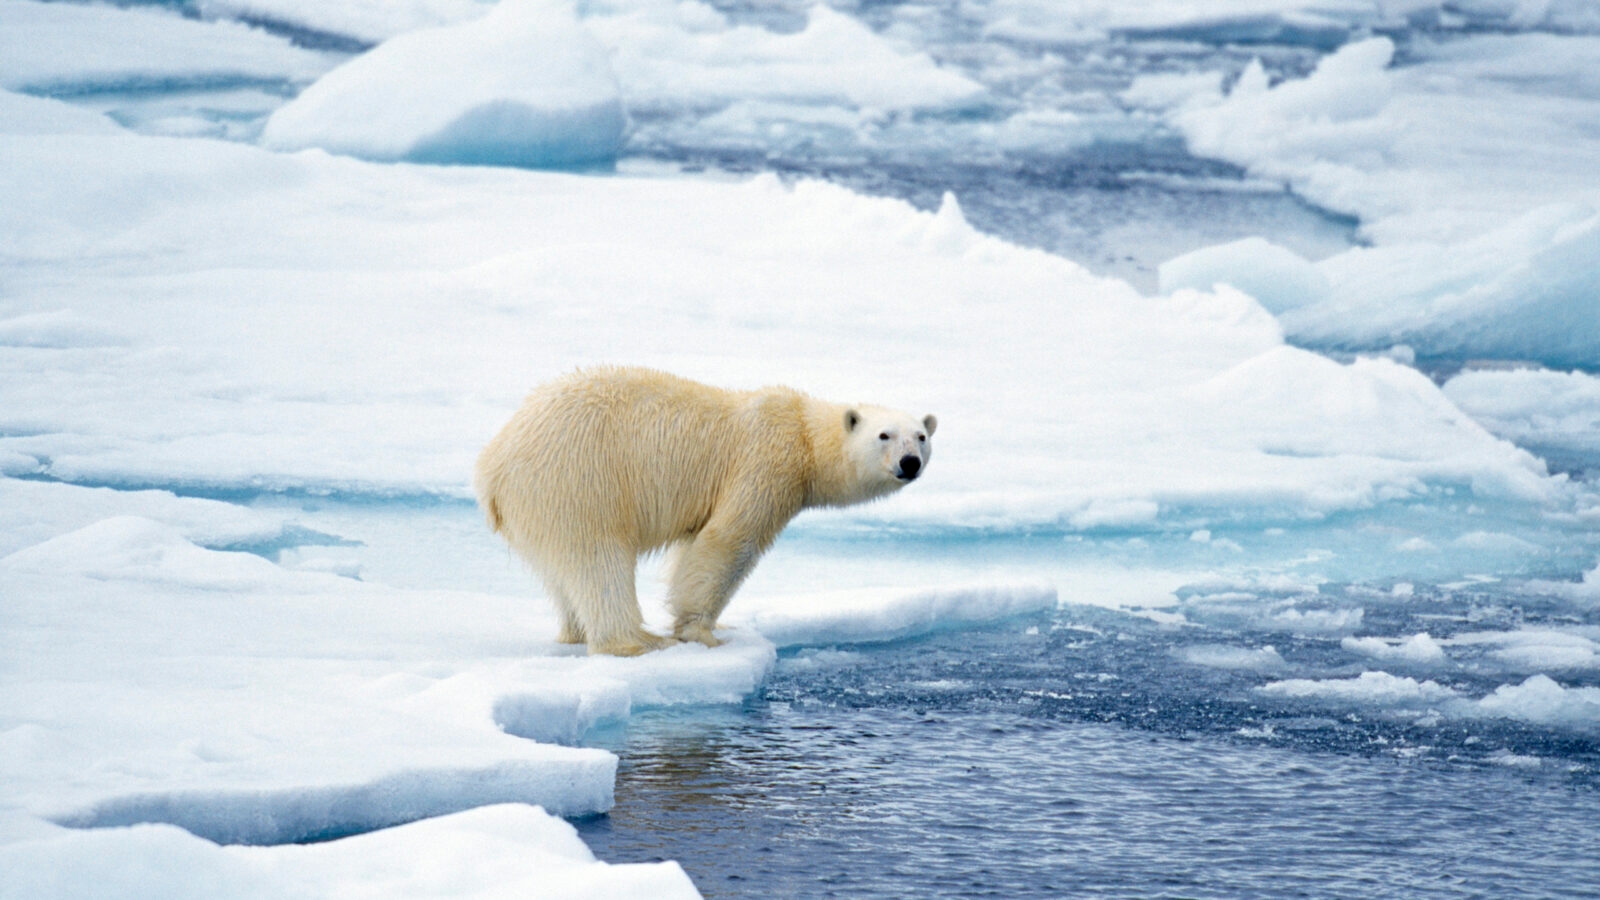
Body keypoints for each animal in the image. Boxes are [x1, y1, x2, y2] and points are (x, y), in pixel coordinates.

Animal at [475, 366, 936, 656]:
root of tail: (492, 466)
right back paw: (636, 641)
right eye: (884, 435)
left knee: (561, 573)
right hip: (578, 480)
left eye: (921, 436)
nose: (909, 463)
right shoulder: (763, 466)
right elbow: (728, 542)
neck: (803, 435)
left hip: (539, 506)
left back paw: (573, 633)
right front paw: (703, 633)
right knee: (598, 560)